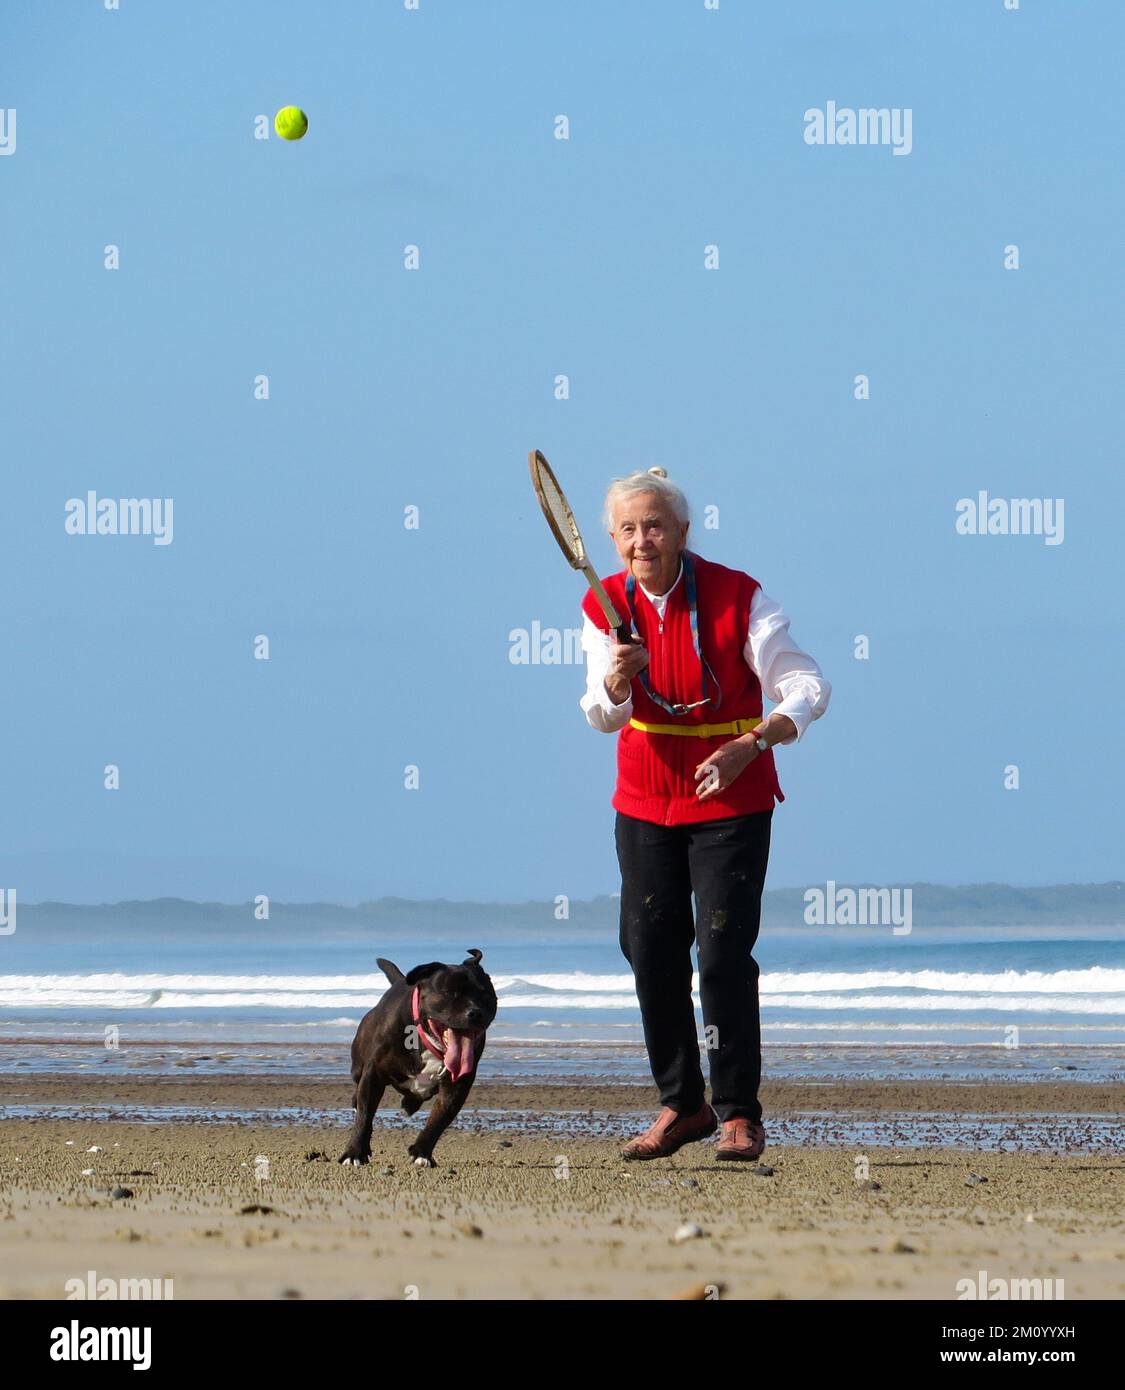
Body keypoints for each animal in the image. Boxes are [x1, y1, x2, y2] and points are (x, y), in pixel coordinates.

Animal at [337, 950, 495, 1167]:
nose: (475, 1012)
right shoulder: (373, 1074)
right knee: (357, 1088)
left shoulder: (457, 1086)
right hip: (358, 1067)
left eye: (485, 994)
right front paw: (355, 1153)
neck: (425, 1040)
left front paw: (422, 1153)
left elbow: (439, 1119)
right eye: (450, 993)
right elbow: (364, 1114)